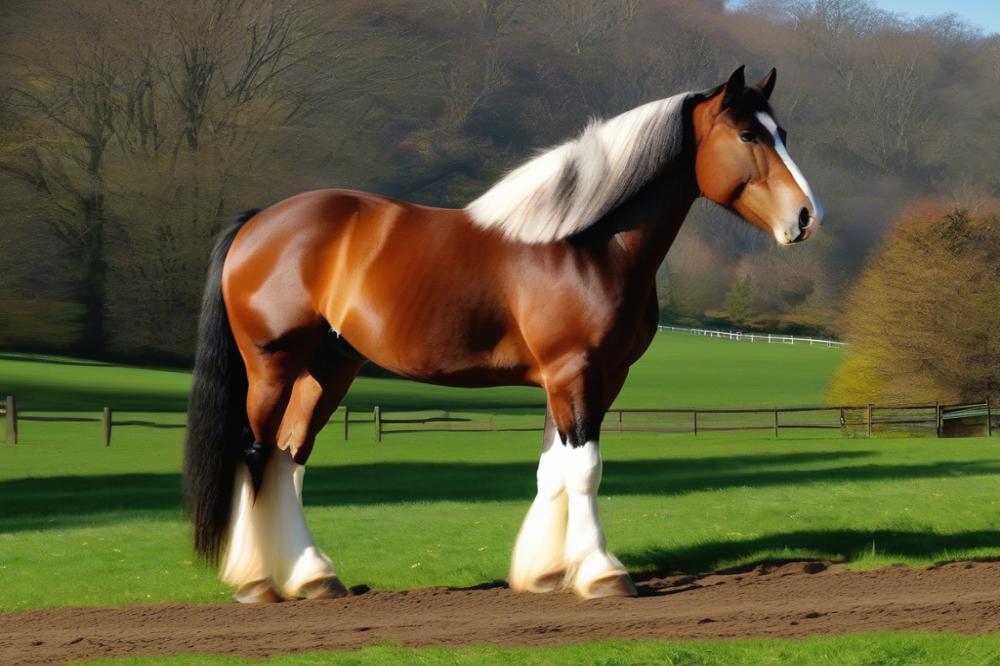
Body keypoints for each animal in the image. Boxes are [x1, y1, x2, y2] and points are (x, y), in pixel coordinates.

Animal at [184, 66, 824, 600]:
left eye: (784, 132)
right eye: (748, 136)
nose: (806, 217)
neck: (585, 242)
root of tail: (259, 221)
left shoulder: (591, 379)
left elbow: (554, 469)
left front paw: (545, 572)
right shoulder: (574, 373)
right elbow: (585, 470)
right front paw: (601, 574)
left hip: (329, 367)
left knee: (289, 458)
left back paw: (312, 577)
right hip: (271, 366)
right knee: (256, 455)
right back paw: (258, 581)